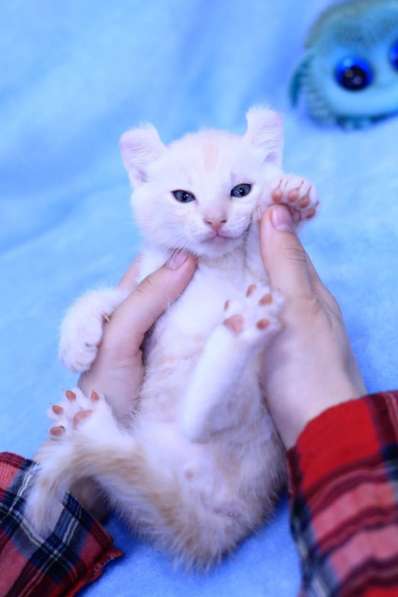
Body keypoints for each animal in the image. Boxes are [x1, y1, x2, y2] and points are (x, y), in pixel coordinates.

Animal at [24, 107, 318, 568]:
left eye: (240, 190)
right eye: (183, 197)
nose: (215, 220)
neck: (211, 266)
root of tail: (227, 518)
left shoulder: (263, 278)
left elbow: (258, 246)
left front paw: (290, 200)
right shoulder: (149, 286)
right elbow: (115, 297)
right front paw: (78, 337)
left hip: (257, 417)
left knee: (200, 418)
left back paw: (239, 329)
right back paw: (91, 423)